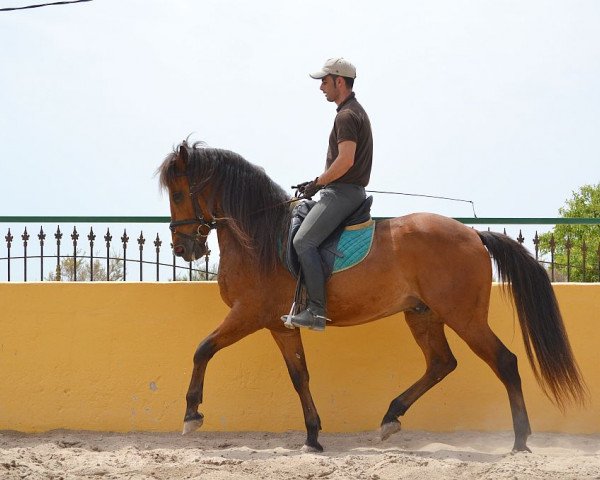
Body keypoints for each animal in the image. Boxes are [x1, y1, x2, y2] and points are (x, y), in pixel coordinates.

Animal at [156, 142, 584, 454]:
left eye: (177, 193)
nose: (182, 248)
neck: (260, 236)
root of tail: (472, 234)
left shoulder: (248, 313)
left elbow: (202, 348)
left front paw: (191, 414)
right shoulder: (279, 324)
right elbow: (299, 376)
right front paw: (312, 437)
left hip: (464, 316)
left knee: (504, 362)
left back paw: (520, 441)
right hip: (423, 314)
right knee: (441, 363)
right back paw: (390, 418)